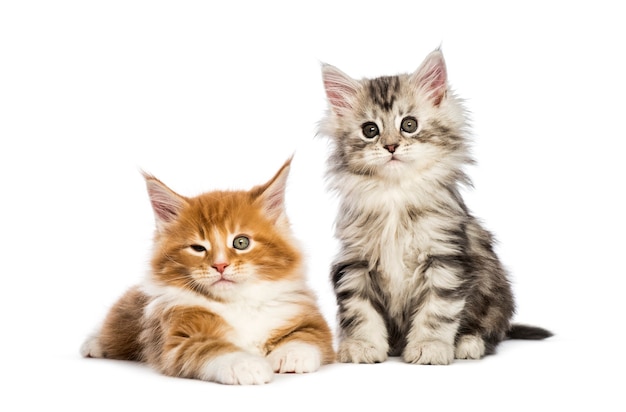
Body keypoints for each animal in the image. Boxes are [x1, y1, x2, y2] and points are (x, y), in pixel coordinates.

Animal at [80, 160, 334, 384]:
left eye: (241, 242)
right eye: (198, 248)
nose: (220, 265)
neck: (239, 303)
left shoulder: (309, 318)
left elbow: (308, 335)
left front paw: (291, 355)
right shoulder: (181, 337)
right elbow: (212, 348)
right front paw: (246, 364)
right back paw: (93, 346)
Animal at [320, 49, 548, 364]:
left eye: (409, 124)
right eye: (370, 130)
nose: (391, 146)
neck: (396, 194)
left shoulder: (445, 257)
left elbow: (436, 312)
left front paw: (429, 346)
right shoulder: (354, 263)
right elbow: (360, 313)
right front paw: (362, 346)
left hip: (497, 293)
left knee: (492, 330)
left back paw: (469, 343)